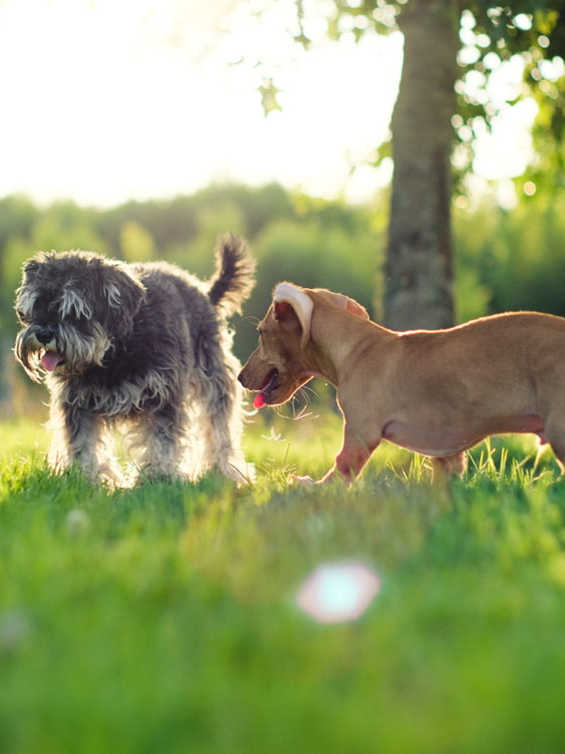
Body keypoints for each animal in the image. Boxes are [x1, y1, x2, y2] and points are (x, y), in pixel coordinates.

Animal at [13, 234, 256, 482]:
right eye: (36, 305)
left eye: (74, 310)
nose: (43, 334)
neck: (114, 352)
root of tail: (204, 292)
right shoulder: (78, 403)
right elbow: (83, 442)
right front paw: (88, 477)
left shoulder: (163, 396)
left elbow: (162, 440)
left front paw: (158, 476)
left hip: (214, 379)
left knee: (219, 426)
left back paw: (225, 468)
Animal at [236, 280, 560, 482]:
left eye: (261, 333)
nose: (239, 377)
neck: (357, 347)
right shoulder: (448, 456)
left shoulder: (360, 435)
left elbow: (336, 475)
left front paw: (305, 486)